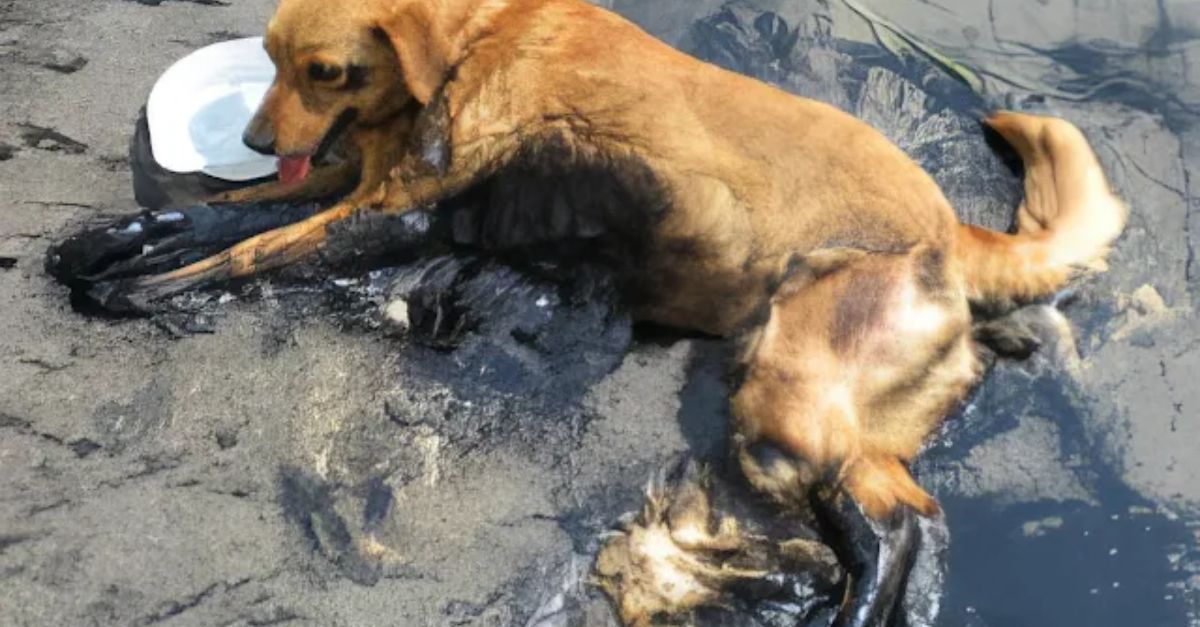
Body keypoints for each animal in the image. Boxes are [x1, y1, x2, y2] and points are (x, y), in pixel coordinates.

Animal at [108, 2, 1128, 619]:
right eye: (270, 61)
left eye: (323, 70)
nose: (251, 139)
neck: (474, 44)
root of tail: (955, 236)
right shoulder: (360, 190)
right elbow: (242, 215)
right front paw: (142, 233)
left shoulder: (394, 211)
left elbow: (255, 247)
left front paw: (151, 287)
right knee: (906, 508)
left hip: (786, 401)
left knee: (902, 524)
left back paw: (858, 603)